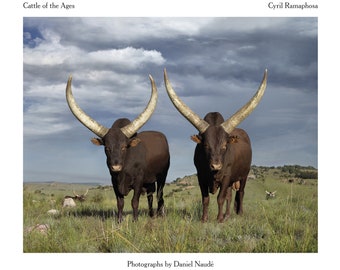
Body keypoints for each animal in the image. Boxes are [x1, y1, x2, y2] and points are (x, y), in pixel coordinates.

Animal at [65, 75, 170, 223]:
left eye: (124, 147)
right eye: (107, 147)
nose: (116, 167)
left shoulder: (139, 180)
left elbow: (134, 201)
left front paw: (135, 220)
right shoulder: (114, 181)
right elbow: (120, 203)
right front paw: (119, 221)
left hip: (162, 176)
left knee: (159, 195)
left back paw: (160, 214)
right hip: (150, 181)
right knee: (150, 196)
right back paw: (151, 214)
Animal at [163, 68, 266, 221]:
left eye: (224, 145)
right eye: (205, 145)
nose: (216, 166)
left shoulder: (227, 176)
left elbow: (220, 198)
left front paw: (218, 219)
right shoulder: (201, 177)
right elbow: (206, 199)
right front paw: (204, 219)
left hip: (244, 175)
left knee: (240, 193)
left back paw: (238, 213)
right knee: (230, 195)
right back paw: (227, 215)